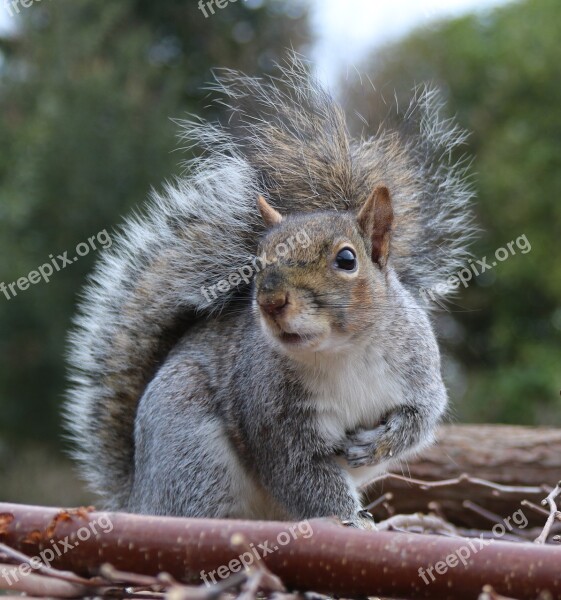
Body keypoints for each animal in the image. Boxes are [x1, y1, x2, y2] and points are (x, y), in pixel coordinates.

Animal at [68, 55, 474, 524]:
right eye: (257, 262)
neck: (342, 353)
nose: (271, 301)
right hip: (192, 455)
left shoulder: (417, 372)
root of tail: (137, 497)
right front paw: (352, 522)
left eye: (347, 260)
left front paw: (381, 444)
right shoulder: (272, 417)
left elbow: (421, 418)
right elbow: (303, 477)